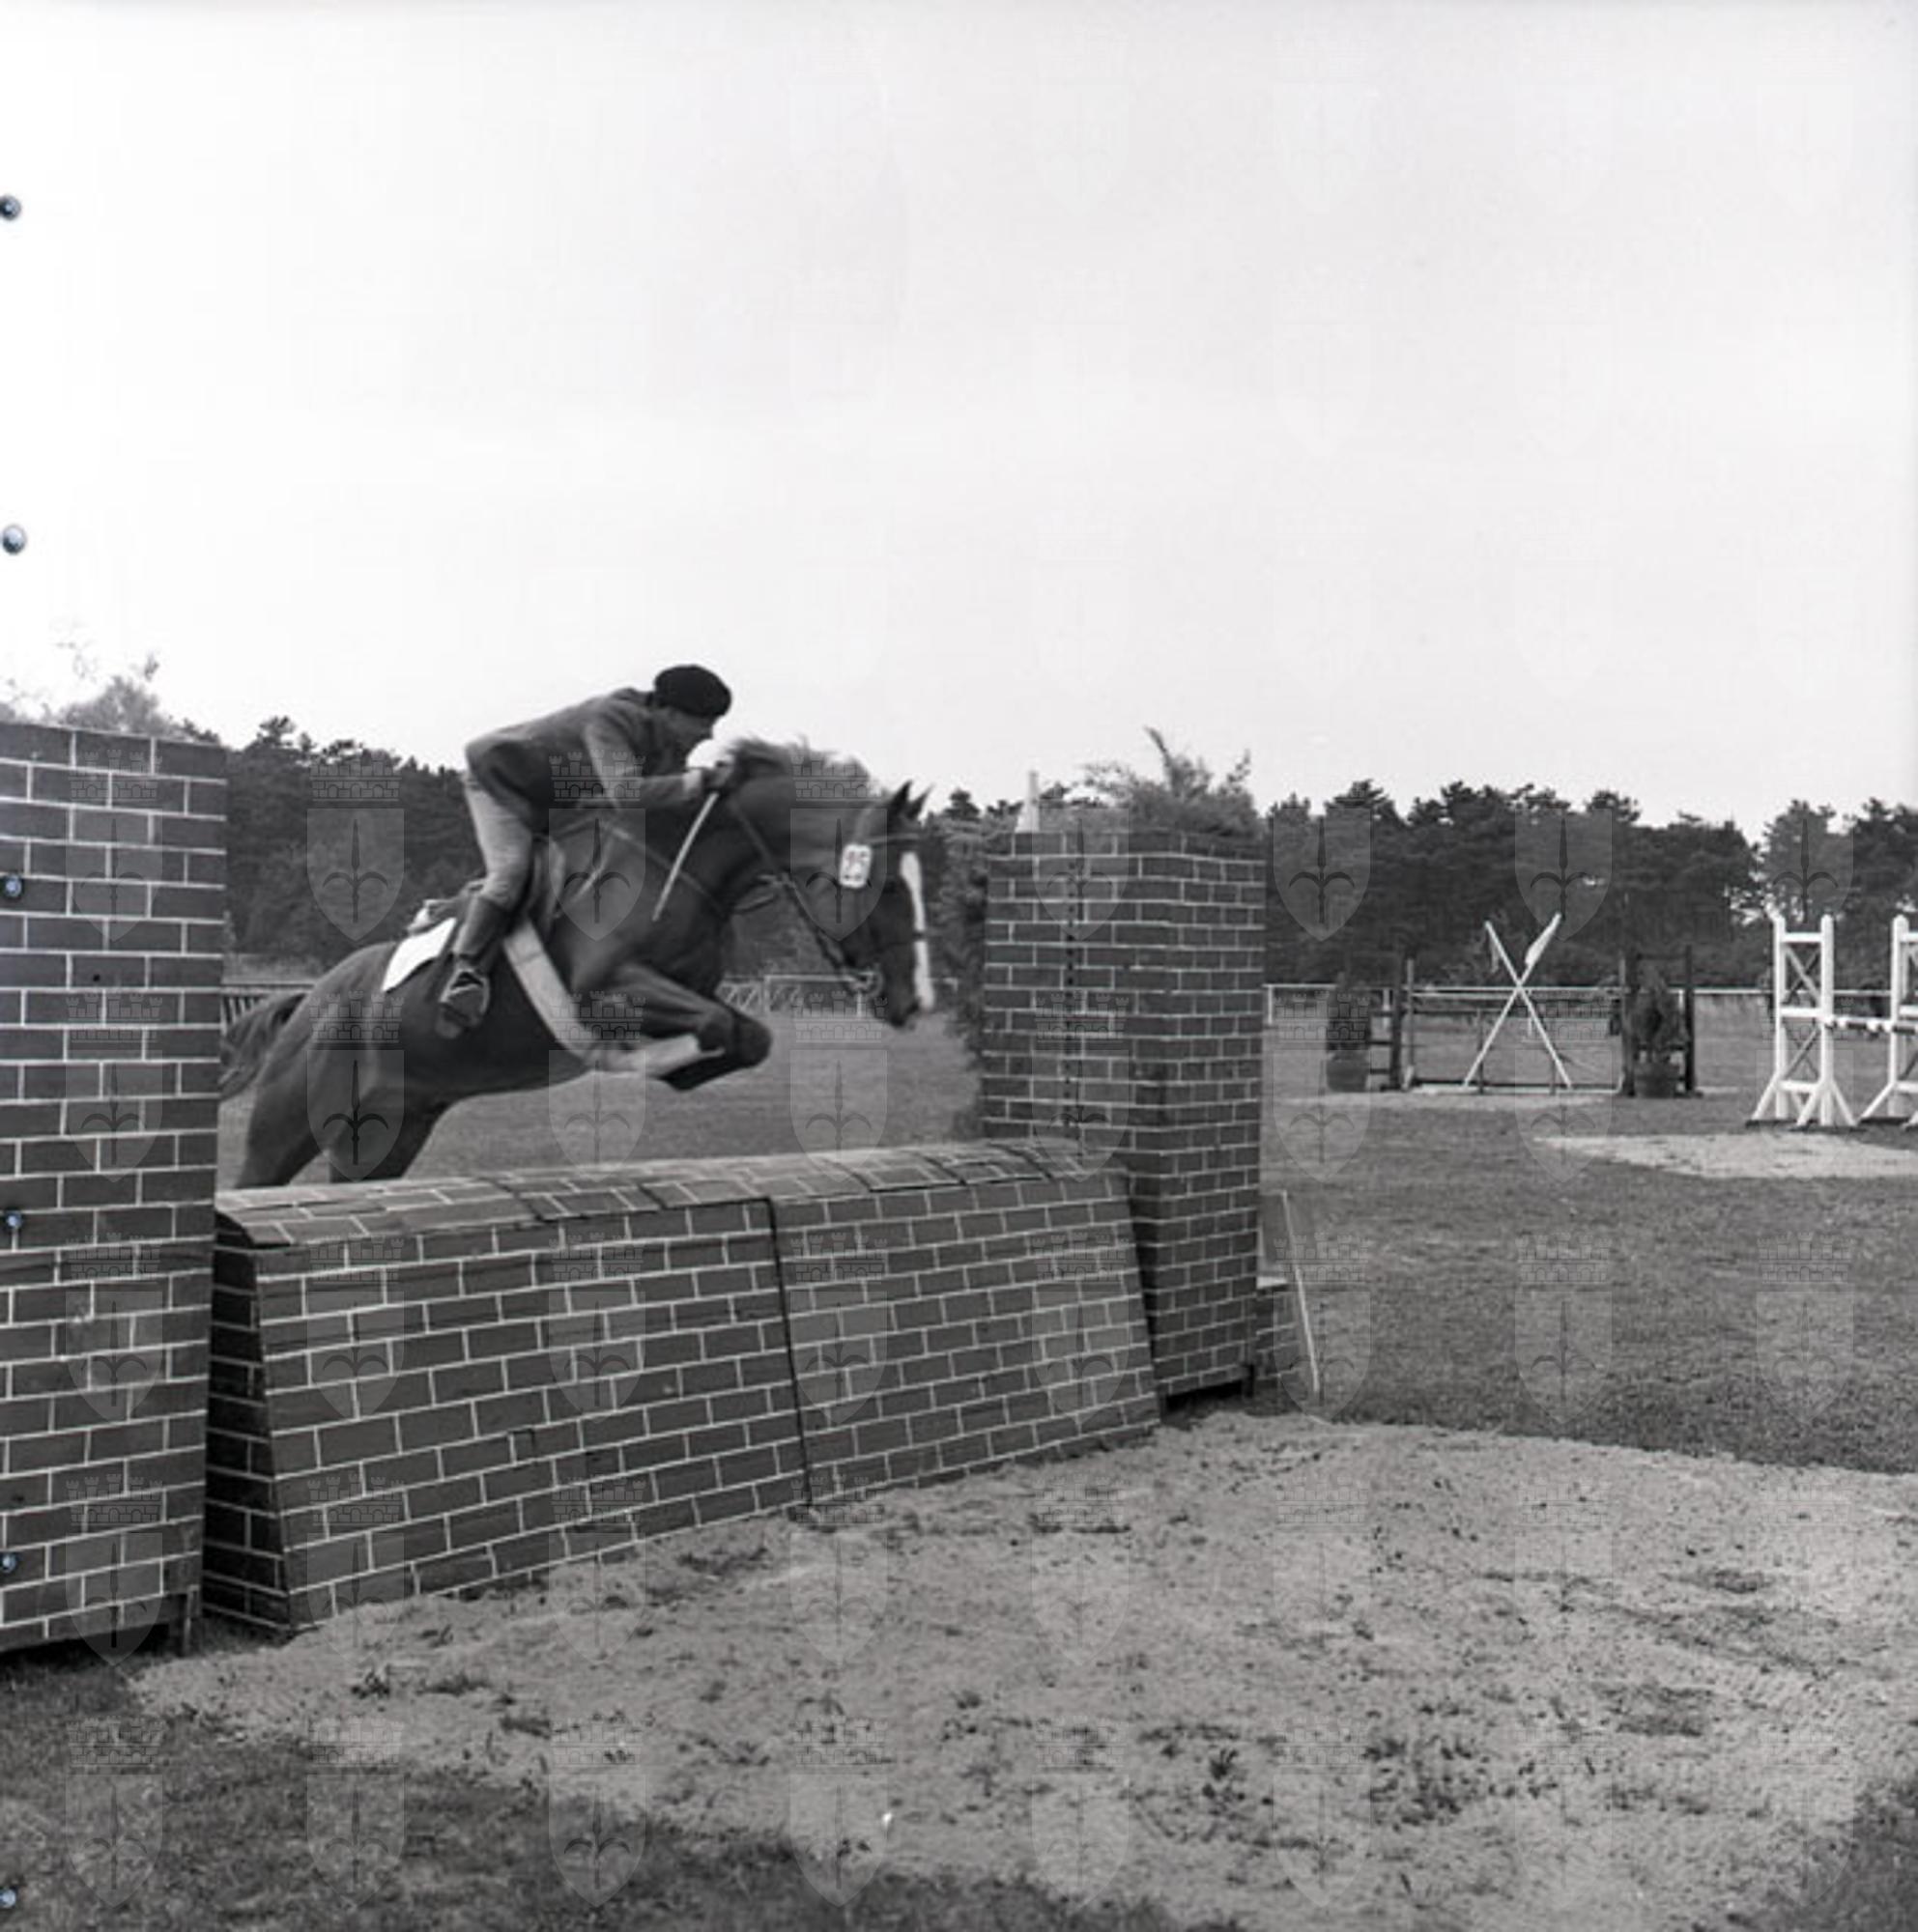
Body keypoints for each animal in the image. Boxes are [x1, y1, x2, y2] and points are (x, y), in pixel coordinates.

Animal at [221, 740, 934, 1186]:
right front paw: (657, 1061)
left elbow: (746, 1033)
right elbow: (717, 1026)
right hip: (292, 1117)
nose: (911, 1002)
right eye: (889, 888)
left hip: (390, 1128)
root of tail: (309, 1001)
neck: (679, 865)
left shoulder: (693, 990)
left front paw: (682, 1070)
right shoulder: (603, 992)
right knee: (255, 1182)